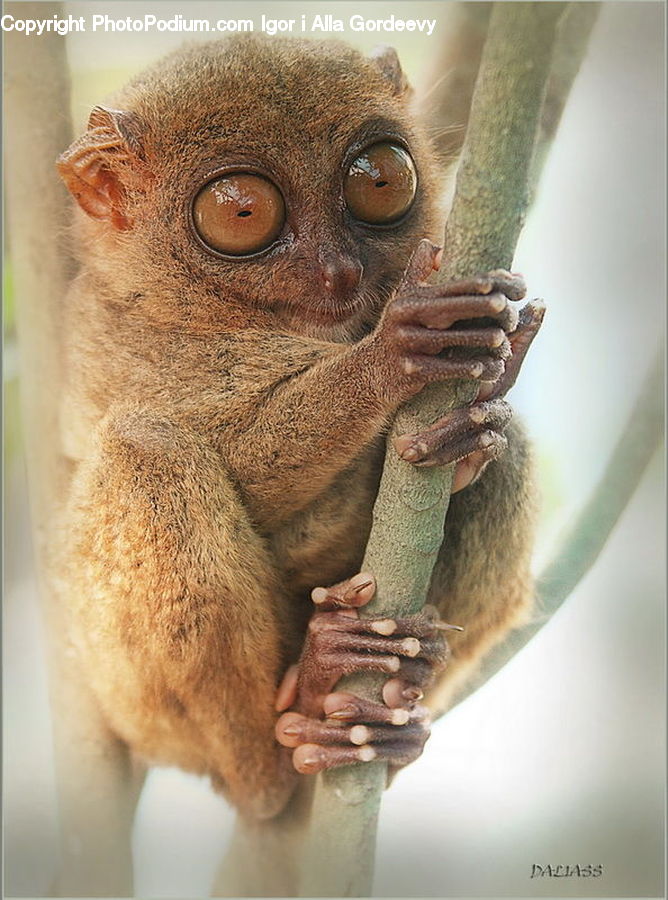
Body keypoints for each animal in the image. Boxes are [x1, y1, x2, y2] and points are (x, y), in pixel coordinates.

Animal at [54, 34, 544, 823]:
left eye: (381, 181)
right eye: (242, 212)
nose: (338, 271)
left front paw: (481, 409)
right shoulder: (117, 346)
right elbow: (242, 470)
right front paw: (394, 354)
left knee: (516, 456)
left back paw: (388, 713)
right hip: (136, 706)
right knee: (147, 450)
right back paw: (300, 714)